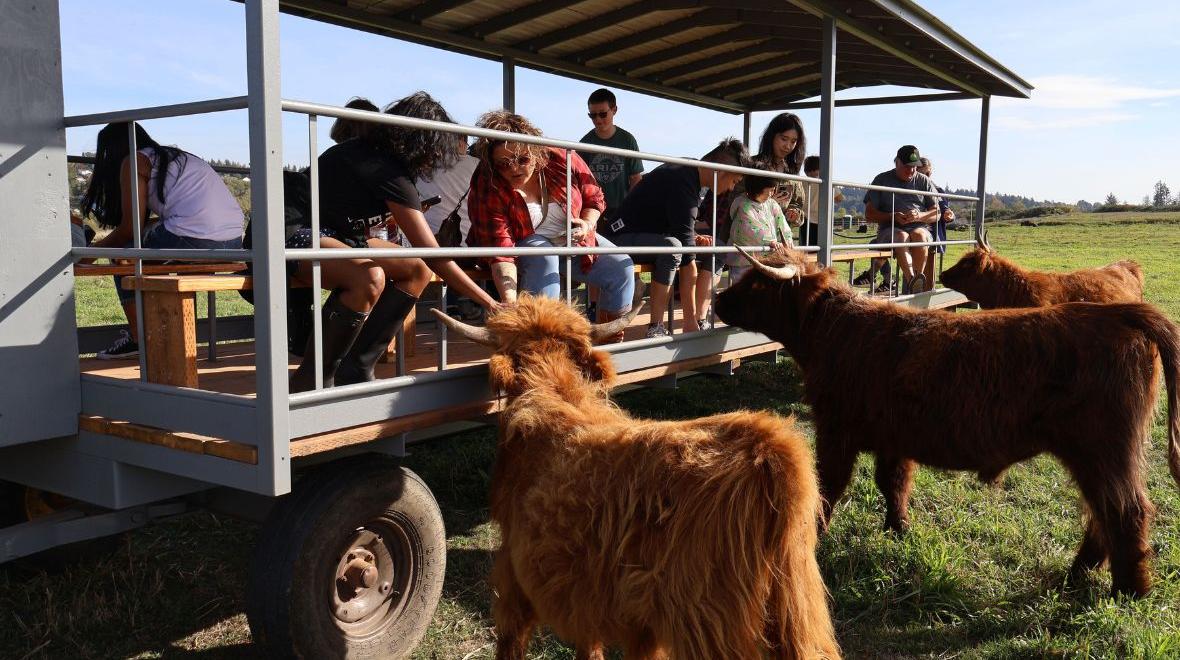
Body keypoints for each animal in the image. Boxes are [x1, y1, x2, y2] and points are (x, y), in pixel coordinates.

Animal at [433, 293, 840, 660]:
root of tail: (771, 444)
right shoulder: (593, 598)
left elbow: (511, 638)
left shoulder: (514, 569)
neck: (556, 391)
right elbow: (591, 646)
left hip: (705, 622)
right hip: (799, 607)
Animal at [715, 247, 1180, 598]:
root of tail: (1120, 313)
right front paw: (898, 530)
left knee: (1125, 512)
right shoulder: (893, 435)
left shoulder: (835, 429)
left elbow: (828, 486)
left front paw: (815, 536)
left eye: (756, 282)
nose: (718, 302)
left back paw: (1126, 591)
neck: (835, 332)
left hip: (1101, 449)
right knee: (1102, 514)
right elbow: (894, 482)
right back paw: (1079, 575)